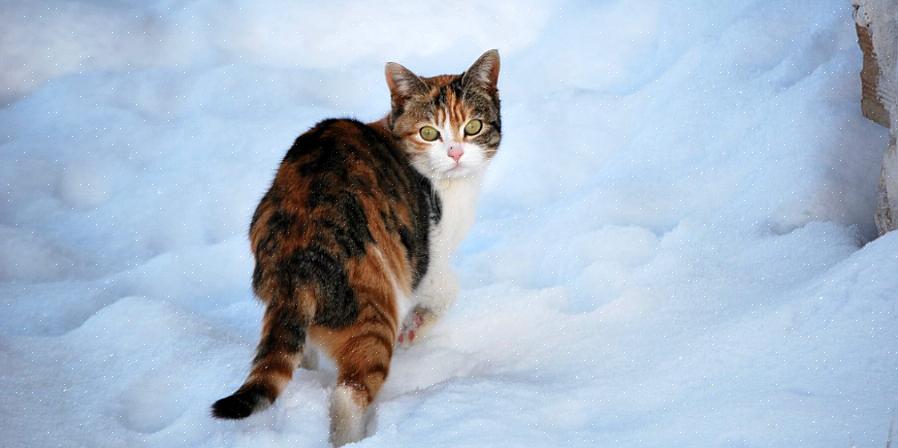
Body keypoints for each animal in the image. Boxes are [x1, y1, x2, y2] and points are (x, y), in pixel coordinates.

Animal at [213, 50, 500, 444]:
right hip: (373, 302)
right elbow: (447, 289)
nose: (455, 152)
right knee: (350, 391)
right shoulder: (426, 254)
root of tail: (297, 254)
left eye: (472, 127)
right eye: (429, 133)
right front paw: (415, 327)